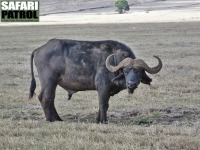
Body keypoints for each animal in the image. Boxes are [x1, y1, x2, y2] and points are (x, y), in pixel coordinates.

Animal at [28, 39, 162, 123]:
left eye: (138, 71)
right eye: (125, 71)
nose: (131, 84)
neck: (114, 60)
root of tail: (39, 49)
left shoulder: (106, 91)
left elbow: (102, 105)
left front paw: (98, 120)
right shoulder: (103, 87)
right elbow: (103, 104)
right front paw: (104, 121)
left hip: (53, 83)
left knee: (50, 99)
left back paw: (58, 118)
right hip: (49, 81)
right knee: (45, 97)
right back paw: (51, 119)